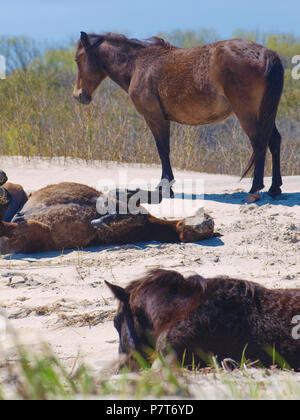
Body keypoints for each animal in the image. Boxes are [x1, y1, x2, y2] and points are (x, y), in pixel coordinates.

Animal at [0, 170, 213, 254]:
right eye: (209, 219)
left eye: (206, 234)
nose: (209, 221)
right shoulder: (120, 198)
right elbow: (150, 196)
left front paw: (100, 221)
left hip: (36, 231)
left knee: (10, 225)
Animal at [72, 32, 284, 202]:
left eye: (77, 59)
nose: (78, 95)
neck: (139, 64)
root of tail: (267, 54)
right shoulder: (163, 119)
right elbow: (165, 150)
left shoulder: (155, 117)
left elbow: (163, 150)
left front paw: (165, 188)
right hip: (266, 113)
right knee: (274, 141)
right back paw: (274, 188)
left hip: (247, 113)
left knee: (259, 143)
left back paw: (254, 190)